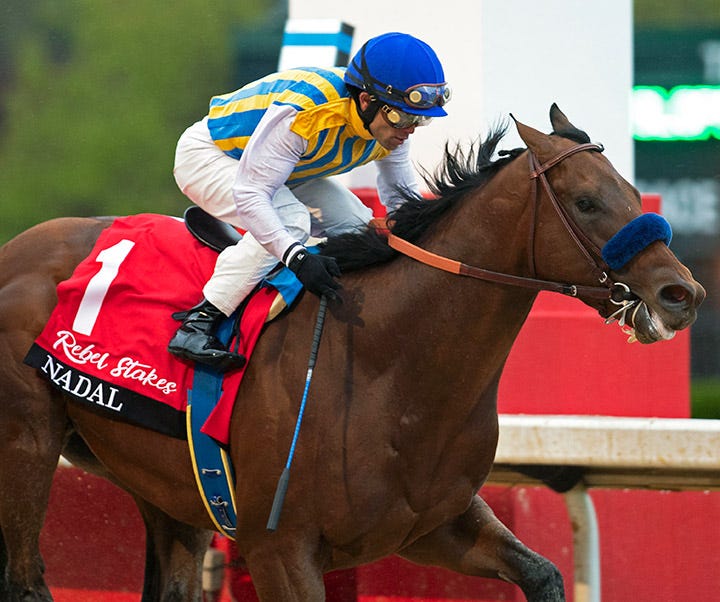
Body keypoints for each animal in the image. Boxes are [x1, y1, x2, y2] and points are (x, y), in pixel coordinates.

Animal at [0, 104, 704, 601]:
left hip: (166, 488)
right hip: (29, 445)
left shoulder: (432, 525)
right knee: (28, 579)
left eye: (632, 192)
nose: (683, 295)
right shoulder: (279, 551)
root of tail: (19, 248)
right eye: (586, 202)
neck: (388, 364)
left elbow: (543, 574)